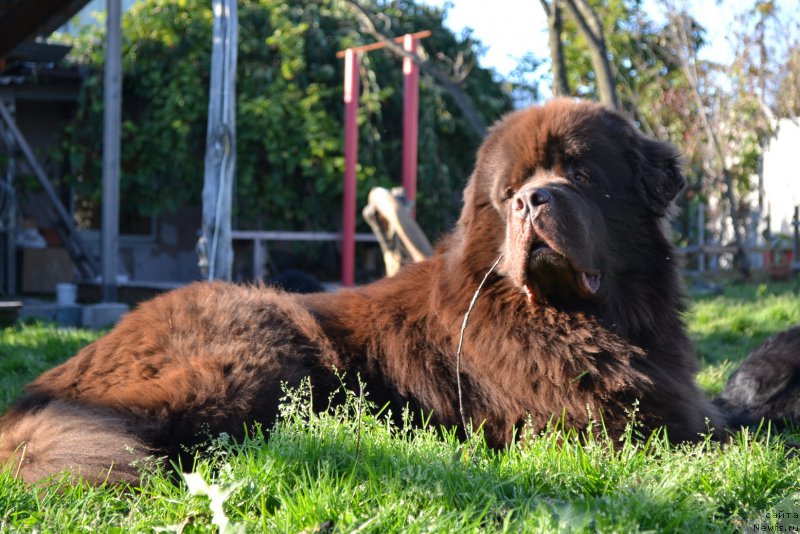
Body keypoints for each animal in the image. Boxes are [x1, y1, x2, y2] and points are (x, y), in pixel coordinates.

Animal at [0, 99, 724, 486]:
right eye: (509, 190)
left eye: (582, 174)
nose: (531, 201)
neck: (575, 320)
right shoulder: (592, 422)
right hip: (252, 353)